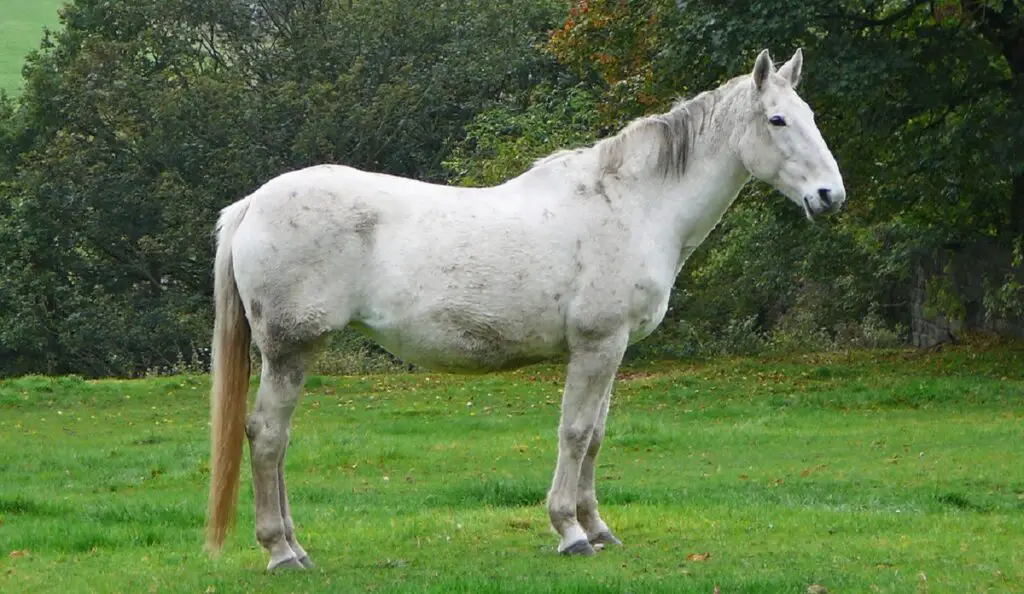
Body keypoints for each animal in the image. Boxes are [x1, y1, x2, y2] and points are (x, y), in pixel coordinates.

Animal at [203, 48, 843, 569]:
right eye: (777, 120)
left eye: (811, 116)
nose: (830, 196)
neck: (631, 205)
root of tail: (253, 203)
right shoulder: (597, 345)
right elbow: (575, 433)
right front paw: (570, 532)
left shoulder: (613, 350)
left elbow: (597, 436)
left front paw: (597, 527)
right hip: (290, 349)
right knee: (266, 435)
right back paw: (280, 551)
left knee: (279, 440)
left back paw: (295, 545)